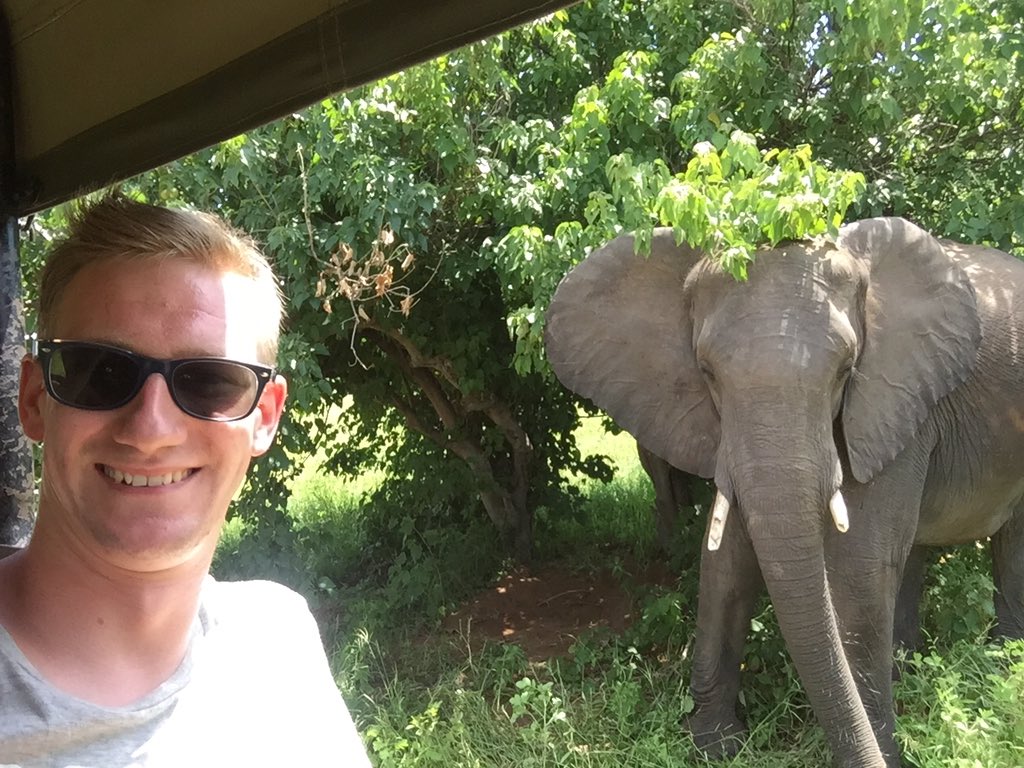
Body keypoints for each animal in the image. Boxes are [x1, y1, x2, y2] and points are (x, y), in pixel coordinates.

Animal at [544, 218, 1024, 768]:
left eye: (846, 371)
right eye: (707, 373)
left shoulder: (893, 397)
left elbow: (857, 567)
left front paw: (881, 753)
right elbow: (727, 560)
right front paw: (716, 746)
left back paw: (1000, 665)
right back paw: (912, 668)